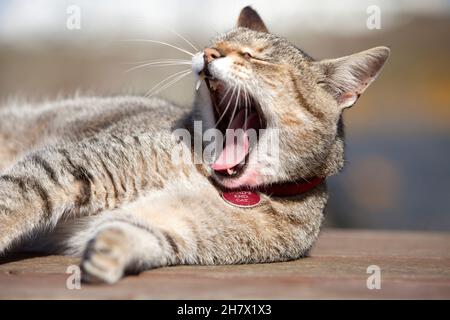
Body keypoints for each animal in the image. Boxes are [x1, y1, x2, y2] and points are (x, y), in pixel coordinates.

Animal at [0, 6, 388, 282]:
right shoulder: (78, 164)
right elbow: (20, 198)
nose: (209, 53)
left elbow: (141, 232)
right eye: (218, 41)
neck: (212, 178)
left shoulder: (186, 225)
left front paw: (112, 249)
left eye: (256, 56)